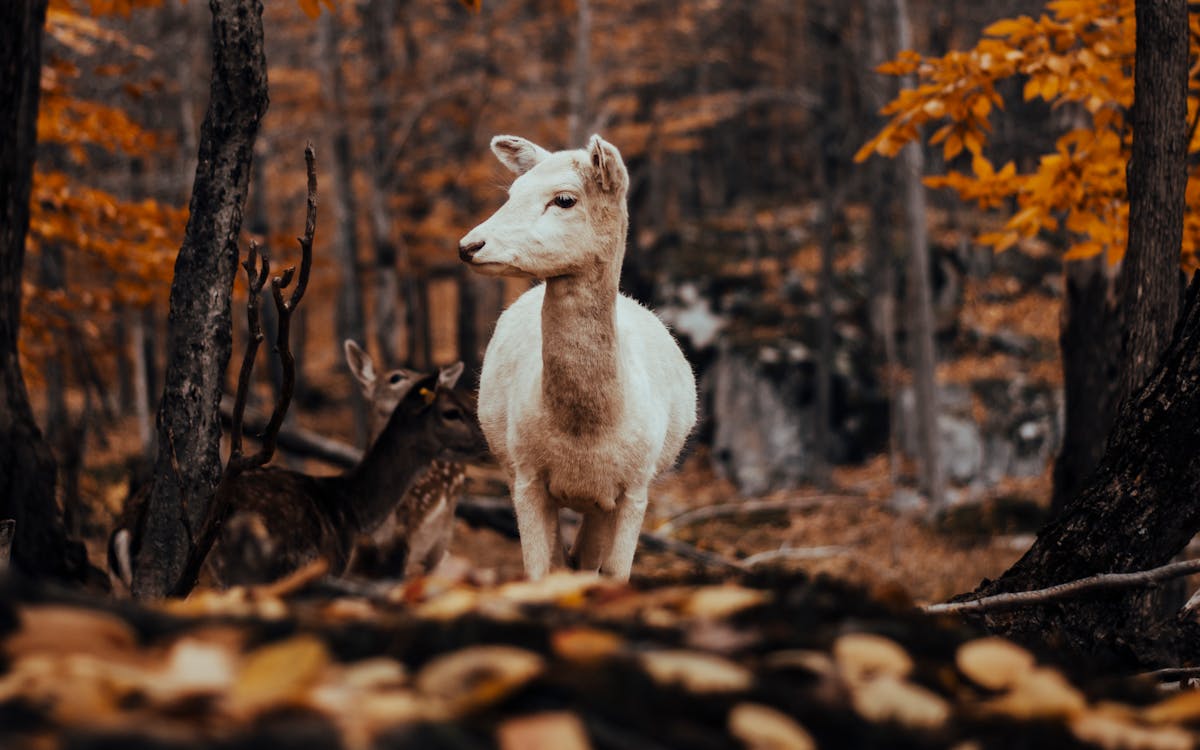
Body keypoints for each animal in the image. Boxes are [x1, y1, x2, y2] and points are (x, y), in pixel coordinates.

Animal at [460, 134, 700, 578]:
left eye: (565, 199)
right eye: (512, 192)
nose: (469, 245)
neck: (585, 436)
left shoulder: (636, 487)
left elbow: (617, 575)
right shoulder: (526, 475)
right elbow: (540, 573)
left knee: (585, 561)